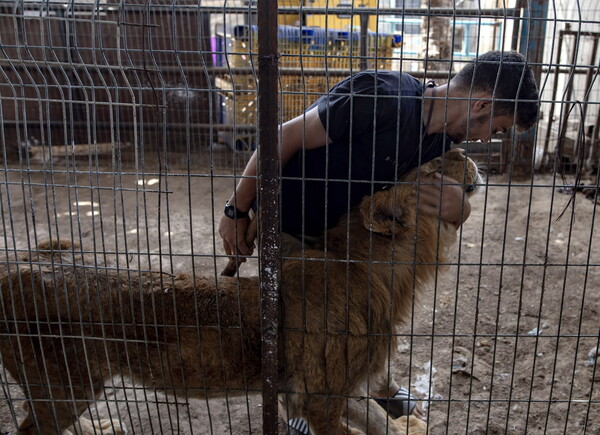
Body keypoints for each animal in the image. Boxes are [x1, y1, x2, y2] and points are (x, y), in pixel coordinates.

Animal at [0, 148, 478, 434]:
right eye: (435, 168)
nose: (464, 151)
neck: (373, 265)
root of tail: (12, 264)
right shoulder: (317, 400)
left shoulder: (334, 389)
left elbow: (381, 422)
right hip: (64, 384)